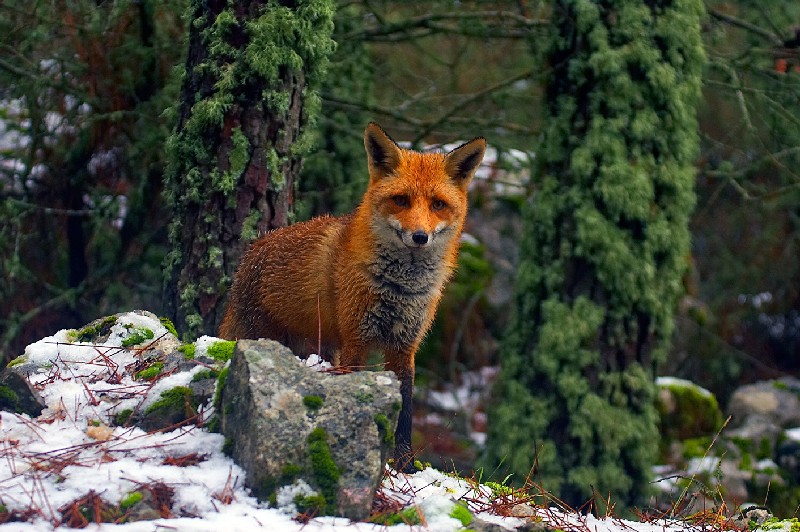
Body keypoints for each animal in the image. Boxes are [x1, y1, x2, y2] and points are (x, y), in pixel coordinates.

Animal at [218, 122, 486, 471]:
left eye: (438, 204)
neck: (399, 290)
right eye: (401, 200)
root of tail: (248, 258)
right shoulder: (356, 340)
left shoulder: (404, 347)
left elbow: (406, 413)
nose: (419, 237)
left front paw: (404, 466)